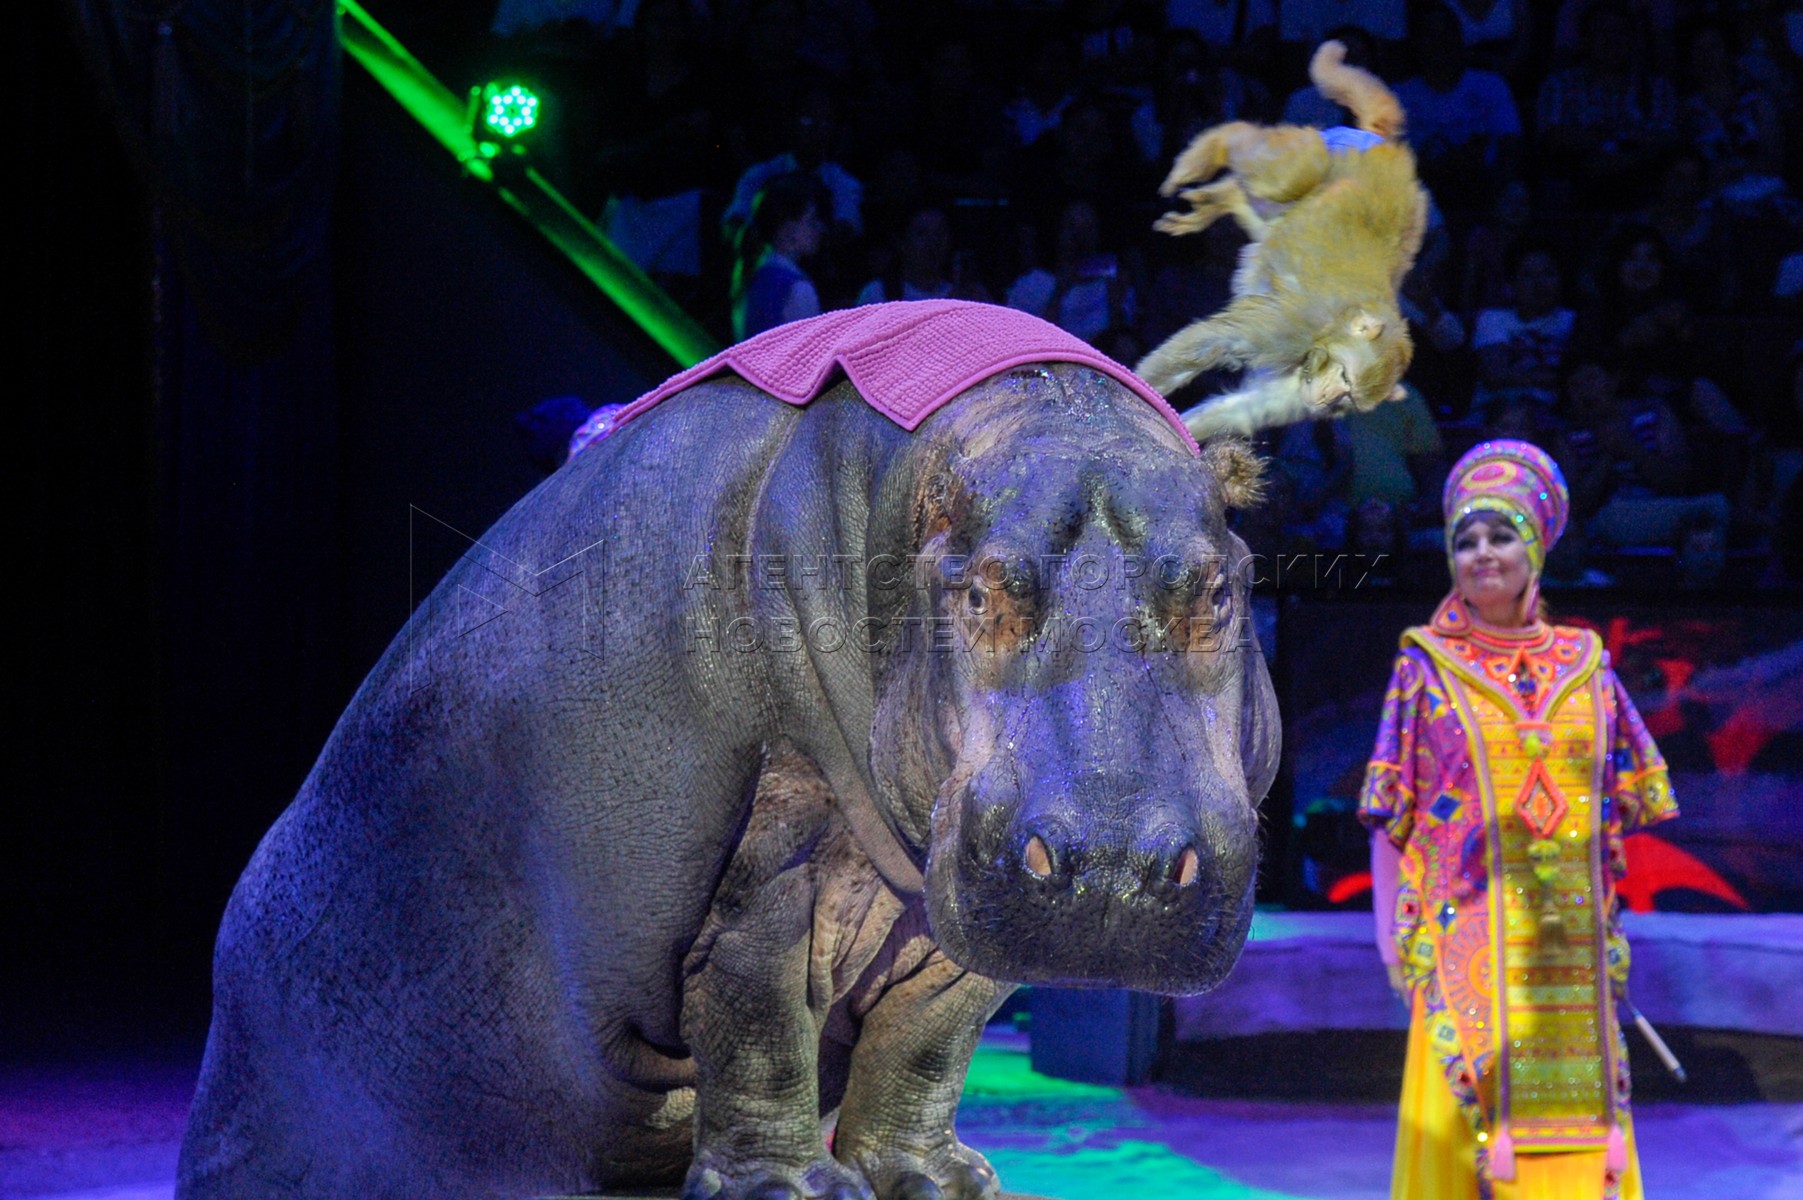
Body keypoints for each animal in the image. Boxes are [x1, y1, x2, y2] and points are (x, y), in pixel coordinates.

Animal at [177, 303, 1280, 1200]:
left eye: (1219, 589)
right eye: (979, 591)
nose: (1115, 866)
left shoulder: (947, 905)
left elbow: (928, 1039)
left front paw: (939, 1180)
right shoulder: (772, 855)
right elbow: (759, 1016)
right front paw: (788, 1189)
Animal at [1135, 41, 1430, 442]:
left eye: (1347, 400)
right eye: (1344, 377)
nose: (1323, 401)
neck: (1328, 332)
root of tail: (1385, 146)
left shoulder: (1295, 384)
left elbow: (1242, 409)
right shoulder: (1290, 328)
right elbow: (1214, 340)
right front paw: (1136, 386)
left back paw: (1220, 199)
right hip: (1332, 154)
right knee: (1287, 173)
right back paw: (1214, 148)